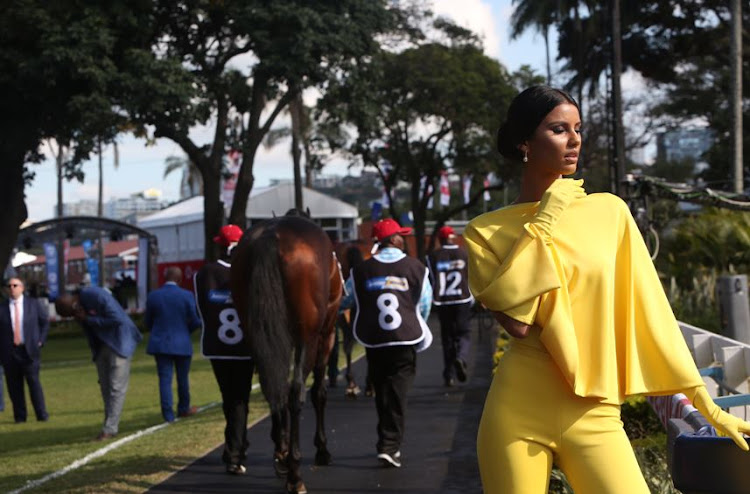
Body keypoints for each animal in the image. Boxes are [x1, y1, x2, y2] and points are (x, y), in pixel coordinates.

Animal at [232, 210, 344, 492]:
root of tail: (272, 235)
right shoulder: (325, 335)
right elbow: (318, 392)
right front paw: (322, 449)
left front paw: (280, 452)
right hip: (308, 337)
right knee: (296, 392)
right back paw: (295, 473)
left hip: (256, 334)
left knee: (273, 386)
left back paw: (284, 458)